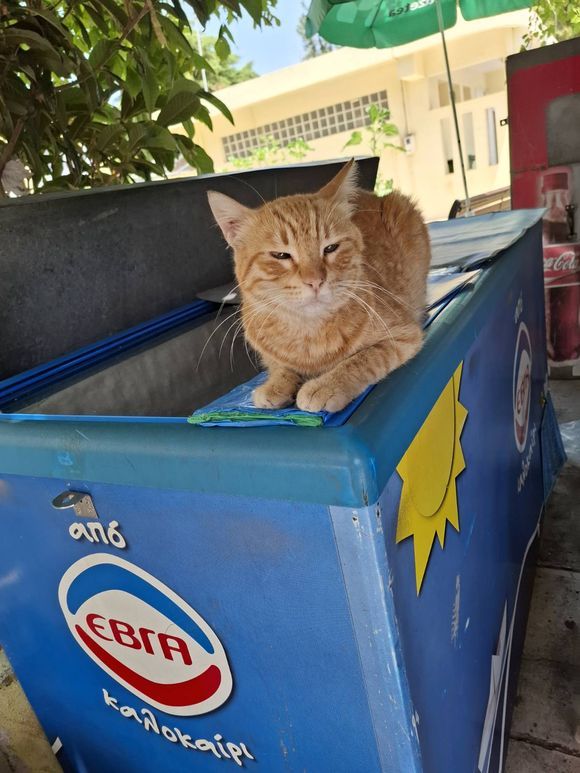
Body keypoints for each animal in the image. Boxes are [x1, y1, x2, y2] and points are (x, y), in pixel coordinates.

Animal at [208, 160, 430, 414]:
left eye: (331, 248)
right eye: (280, 255)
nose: (315, 281)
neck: (307, 333)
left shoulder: (402, 337)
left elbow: (362, 359)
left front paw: (324, 386)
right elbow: (279, 366)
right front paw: (275, 384)